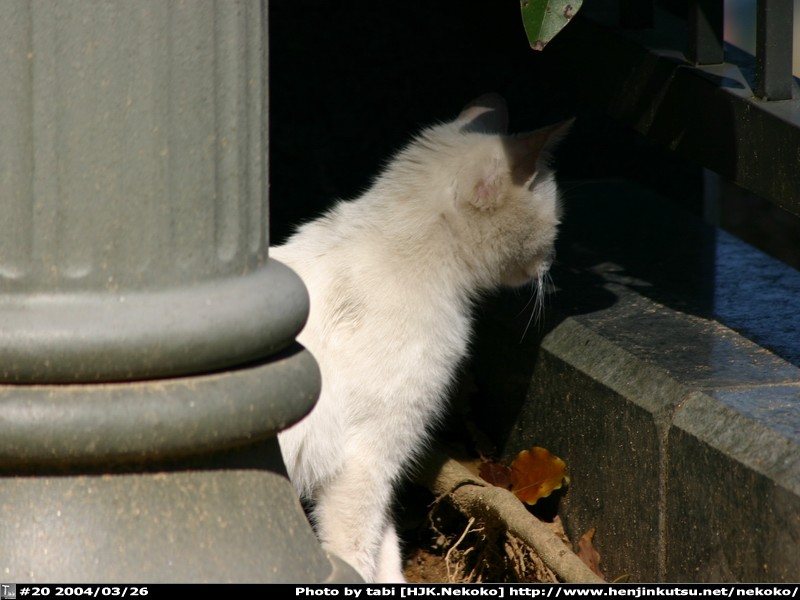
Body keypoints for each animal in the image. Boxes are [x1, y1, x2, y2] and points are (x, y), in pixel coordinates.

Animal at [272, 93, 569, 583]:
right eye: (556, 223)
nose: (554, 261)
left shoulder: (380, 463)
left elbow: (386, 542)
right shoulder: (366, 460)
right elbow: (358, 549)